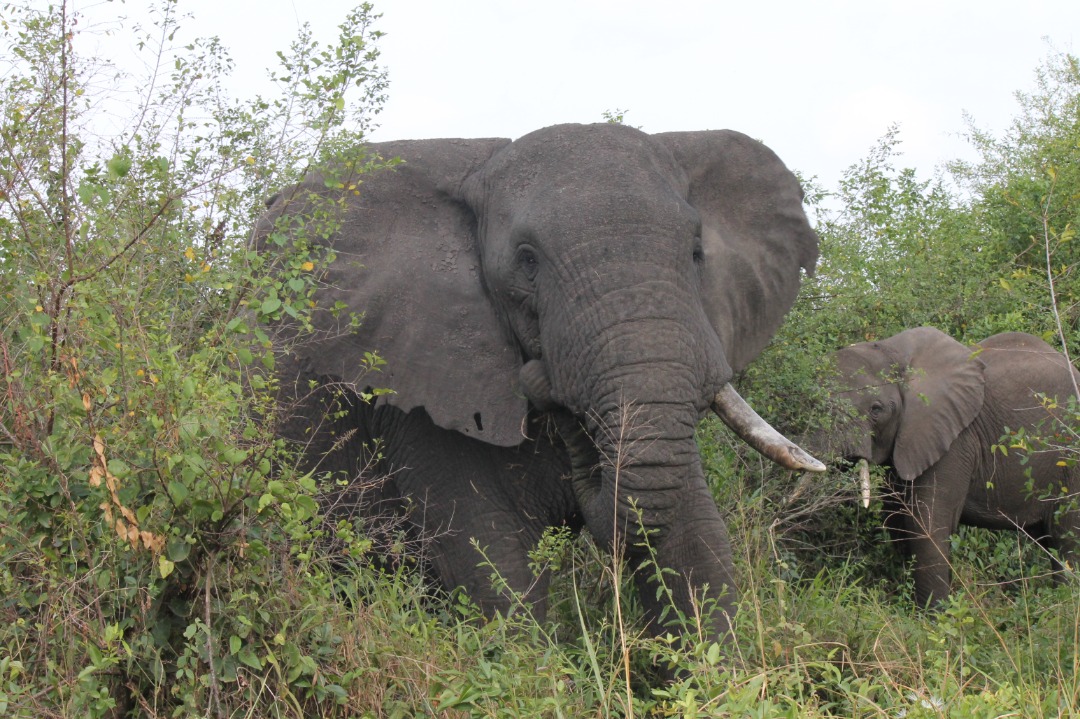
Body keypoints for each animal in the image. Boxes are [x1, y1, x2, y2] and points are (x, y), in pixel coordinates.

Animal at [254, 122, 824, 644]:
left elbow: (696, 546)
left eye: (696, 252)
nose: (543, 382)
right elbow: (494, 566)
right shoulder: (417, 385)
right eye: (527, 261)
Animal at [826, 326, 1080, 606]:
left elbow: (927, 526)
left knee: (1067, 539)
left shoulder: (954, 441)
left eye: (876, 409)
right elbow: (897, 521)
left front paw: (935, 615)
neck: (893, 350)